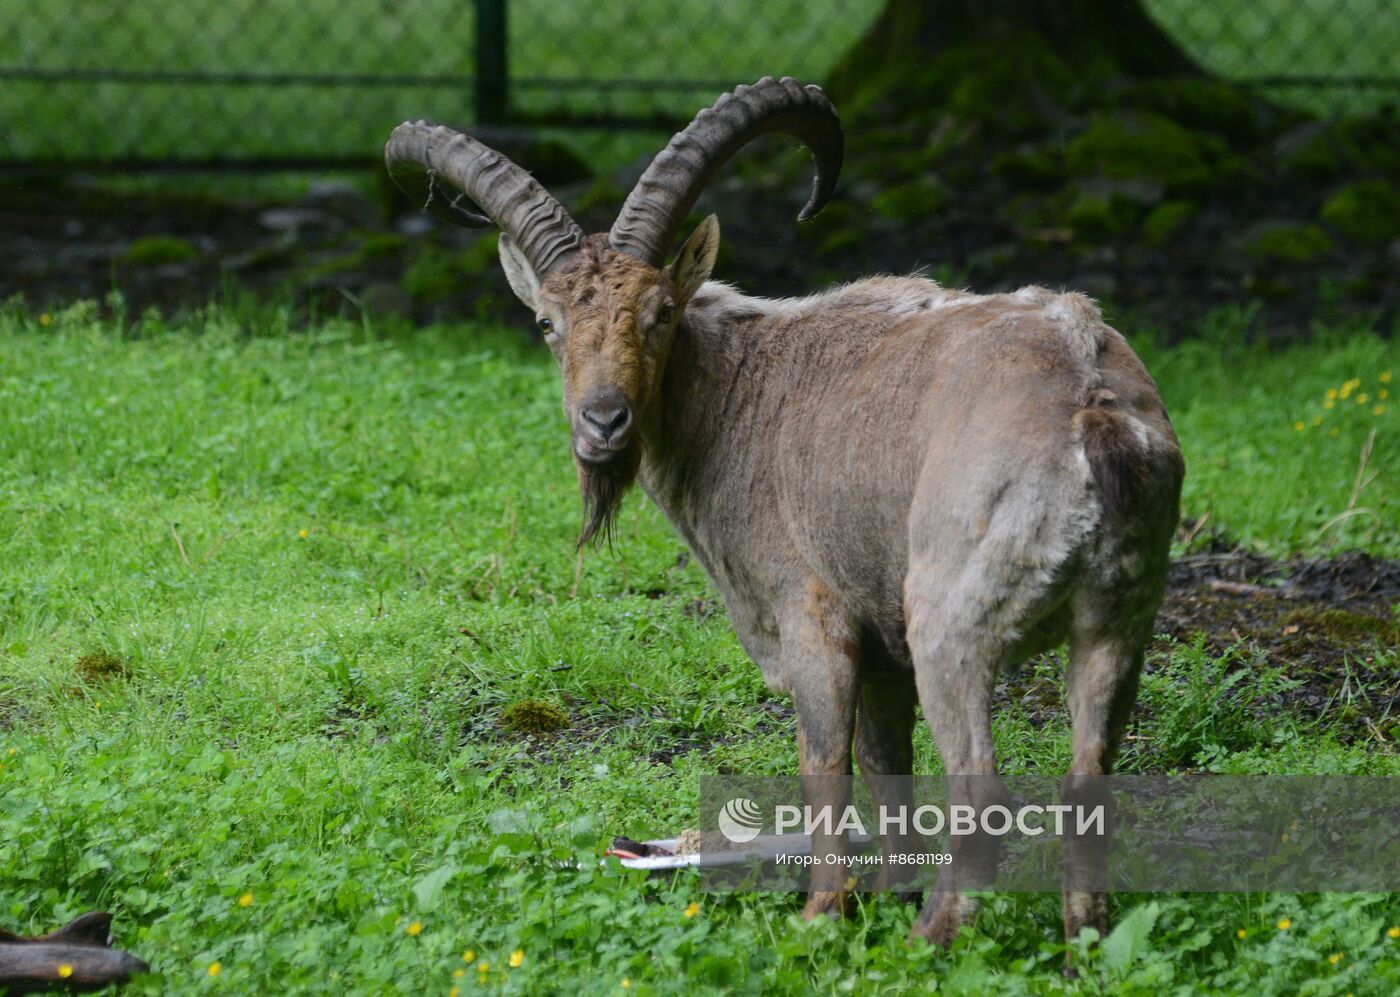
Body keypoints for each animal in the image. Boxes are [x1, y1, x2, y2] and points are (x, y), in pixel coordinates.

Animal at [386, 73, 1181, 946]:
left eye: (660, 311)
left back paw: (926, 940)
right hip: (1116, 620)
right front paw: (883, 893)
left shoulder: (814, 613)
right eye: (546, 321)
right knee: (1088, 780)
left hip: (953, 617)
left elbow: (824, 764)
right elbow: (885, 763)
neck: (740, 390)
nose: (603, 423)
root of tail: (1093, 408)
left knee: (982, 790)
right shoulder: (884, 642)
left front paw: (821, 915)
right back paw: (1081, 949)